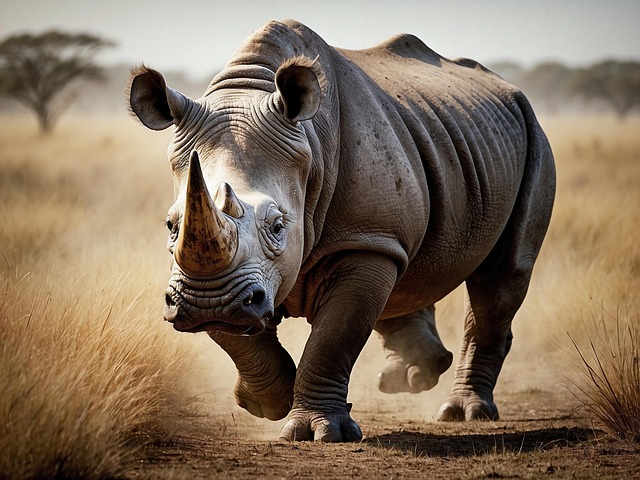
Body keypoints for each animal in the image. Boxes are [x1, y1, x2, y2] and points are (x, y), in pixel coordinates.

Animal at [128, 19, 555, 442]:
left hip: (532, 136)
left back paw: (463, 412)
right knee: (408, 265)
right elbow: (235, 335)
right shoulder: (206, 280)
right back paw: (413, 375)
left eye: (278, 226)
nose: (207, 302)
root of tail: (508, 89)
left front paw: (315, 431)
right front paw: (268, 402)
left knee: (502, 275)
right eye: (171, 225)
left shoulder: (364, 240)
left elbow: (335, 336)